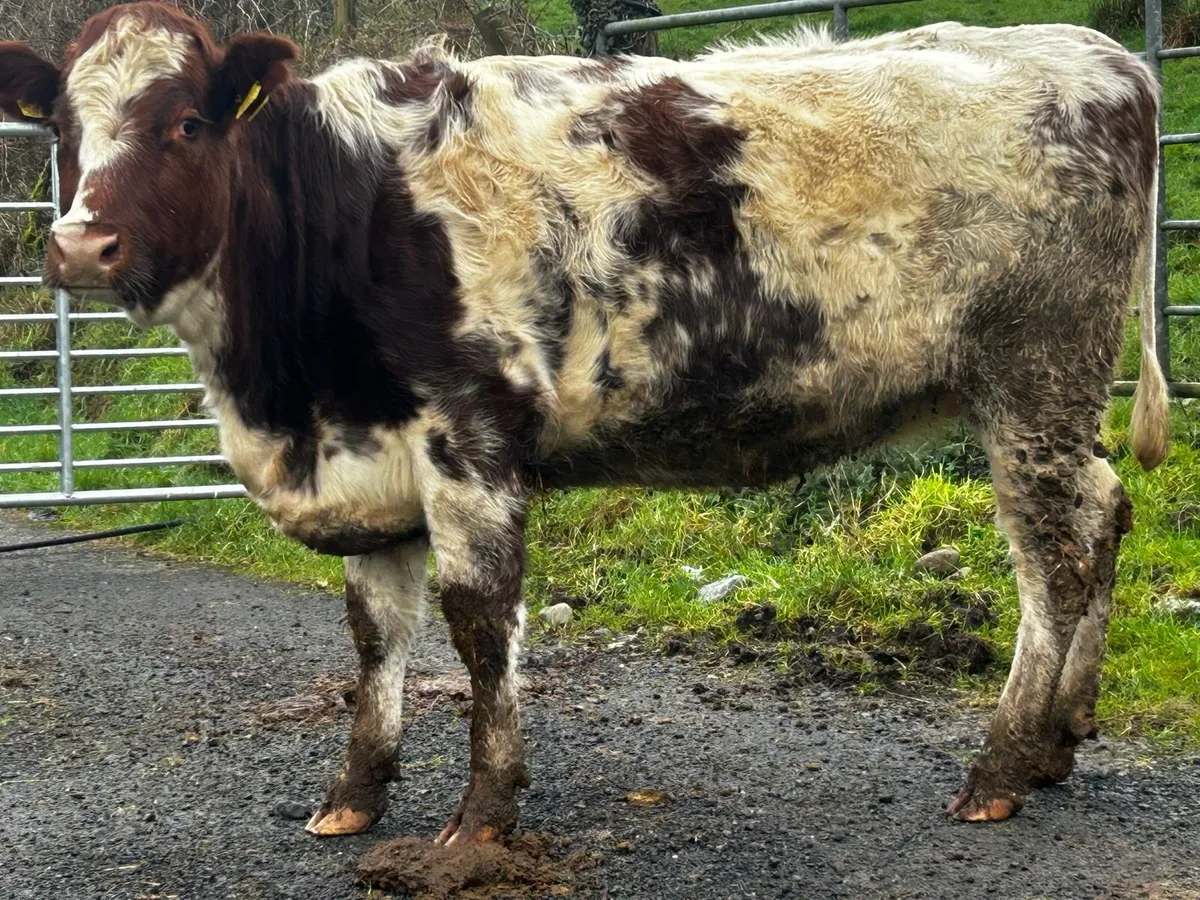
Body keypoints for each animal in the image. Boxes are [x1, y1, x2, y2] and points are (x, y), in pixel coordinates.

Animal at [0, 2, 1170, 844]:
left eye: (185, 123)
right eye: (61, 128)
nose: (80, 247)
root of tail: (1101, 54)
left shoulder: (469, 436)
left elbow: (479, 625)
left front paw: (483, 813)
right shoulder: (367, 460)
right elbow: (376, 637)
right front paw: (354, 796)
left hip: (1035, 376)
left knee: (1053, 564)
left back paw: (1002, 767)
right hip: (1052, 401)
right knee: (1105, 510)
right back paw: (1061, 739)